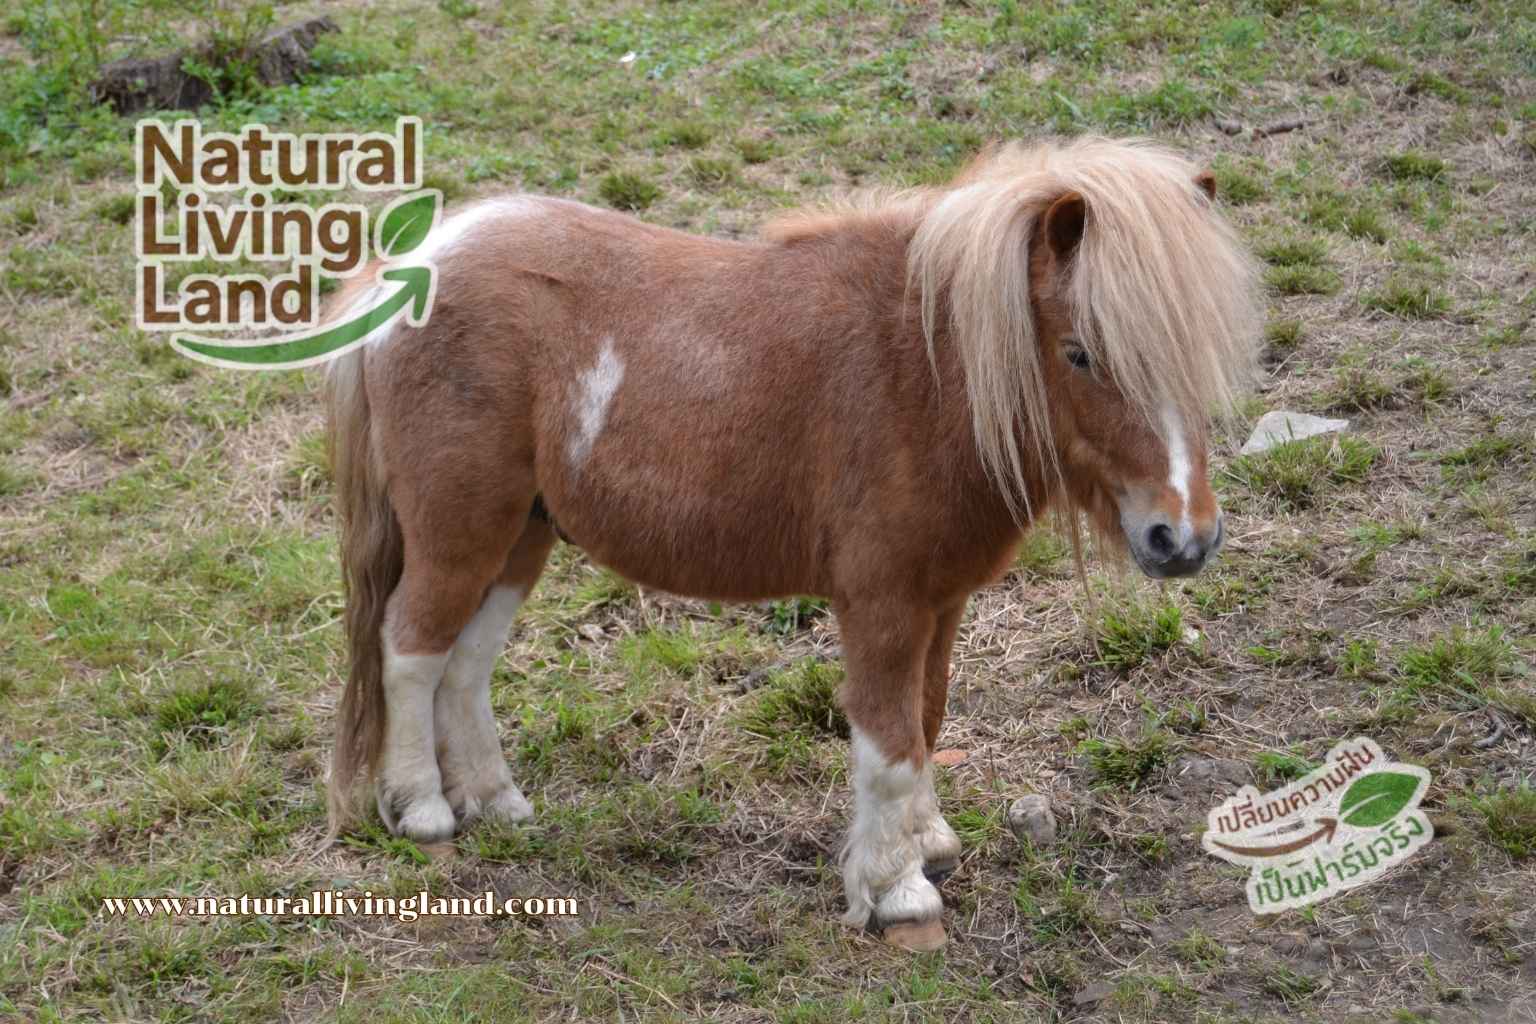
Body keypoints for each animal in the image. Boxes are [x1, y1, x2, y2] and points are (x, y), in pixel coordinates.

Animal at [323, 136, 1261, 950]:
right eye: (1079, 353)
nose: (1182, 538)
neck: (924, 369)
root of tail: (418, 263)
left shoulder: (941, 601)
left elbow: (926, 718)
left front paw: (927, 841)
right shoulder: (882, 604)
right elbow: (888, 745)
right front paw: (895, 893)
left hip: (518, 537)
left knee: (465, 664)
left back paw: (496, 802)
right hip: (459, 531)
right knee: (411, 651)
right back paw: (425, 812)